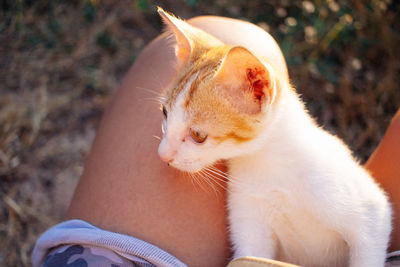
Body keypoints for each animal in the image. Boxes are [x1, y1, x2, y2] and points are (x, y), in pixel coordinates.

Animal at [155, 8, 390, 267]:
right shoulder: (251, 223)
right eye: (165, 112)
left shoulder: (373, 214)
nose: (162, 155)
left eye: (198, 135)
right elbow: (249, 254)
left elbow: (368, 248)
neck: (273, 166)